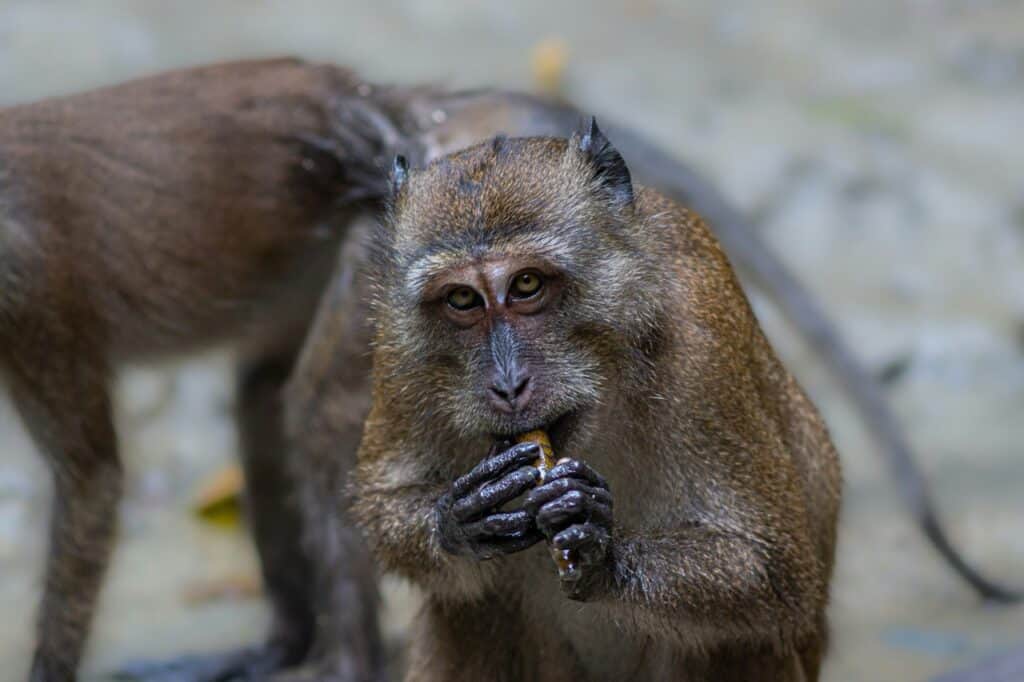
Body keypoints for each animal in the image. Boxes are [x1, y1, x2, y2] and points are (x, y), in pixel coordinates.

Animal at [0, 59, 395, 679]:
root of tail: (358, 91)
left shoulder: (28, 291)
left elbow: (92, 481)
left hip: (378, 224)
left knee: (317, 415)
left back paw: (352, 661)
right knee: (261, 399)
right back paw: (283, 646)